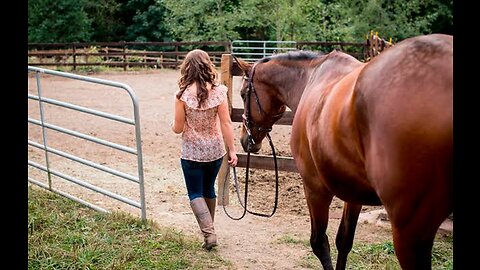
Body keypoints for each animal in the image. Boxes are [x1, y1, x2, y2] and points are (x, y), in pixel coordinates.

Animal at [236, 34, 454, 270]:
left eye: (243, 94)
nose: (245, 140)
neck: (311, 77)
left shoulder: (314, 188)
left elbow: (319, 242)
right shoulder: (354, 193)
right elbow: (344, 240)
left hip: (409, 230)